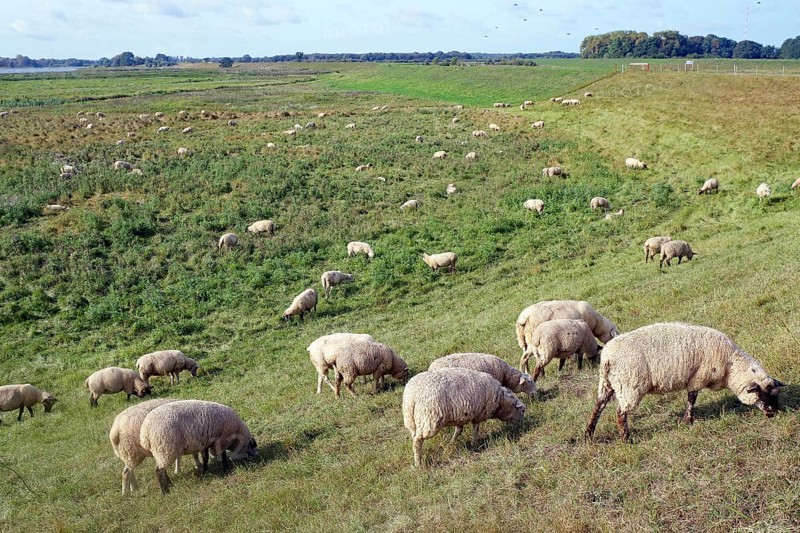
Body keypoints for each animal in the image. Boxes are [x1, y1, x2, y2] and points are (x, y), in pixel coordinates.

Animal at [585, 322, 784, 442]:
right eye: (762, 393)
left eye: (775, 394)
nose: (774, 413)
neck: (731, 365)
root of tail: (606, 357)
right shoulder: (698, 377)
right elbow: (692, 398)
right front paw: (688, 420)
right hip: (630, 385)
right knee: (620, 413)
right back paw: (626, 438)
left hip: (608, 383)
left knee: (598, 406)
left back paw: (588, 434)